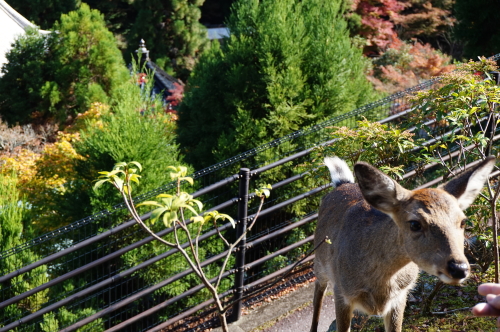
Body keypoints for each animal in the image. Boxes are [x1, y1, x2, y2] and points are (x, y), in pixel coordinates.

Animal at [308, 156, 496, 332]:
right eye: (414, 224)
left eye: (463, 221)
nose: (459, 268)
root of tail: (342, 183)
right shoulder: (341, 292)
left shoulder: (401, 295)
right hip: (320, 263)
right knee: (318, 294)